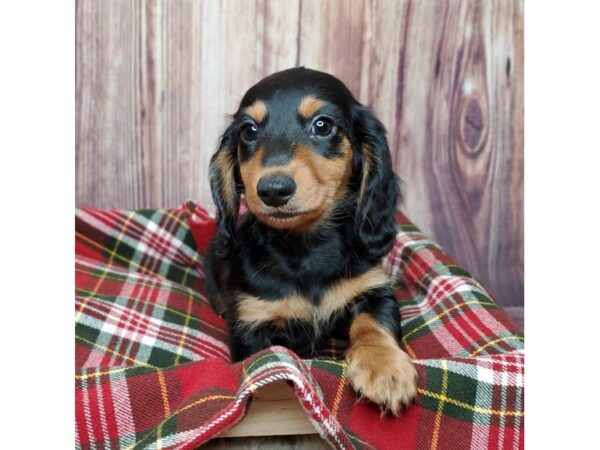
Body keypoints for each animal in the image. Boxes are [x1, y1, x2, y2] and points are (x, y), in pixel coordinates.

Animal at [206, 67, 418, 414]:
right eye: (249, 131)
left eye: (323, 125)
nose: (273, 189)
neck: (305, 249)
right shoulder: (252, 324)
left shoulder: (373, 289)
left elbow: (373, 323)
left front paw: (385, 368)